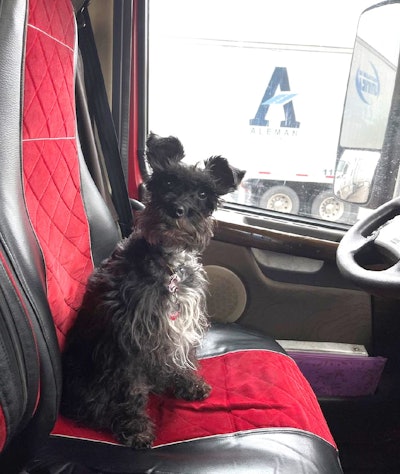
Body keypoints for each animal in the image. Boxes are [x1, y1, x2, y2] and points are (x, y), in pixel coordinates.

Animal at [61, 132, 245, 448]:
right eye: (168, 182)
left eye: (203, 193)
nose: (177, 210)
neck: (170, 265)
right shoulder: (128, 341)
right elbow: (131, 390)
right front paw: (135, 427)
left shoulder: (180, 326)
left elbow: (181, 355)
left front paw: (188, 383)